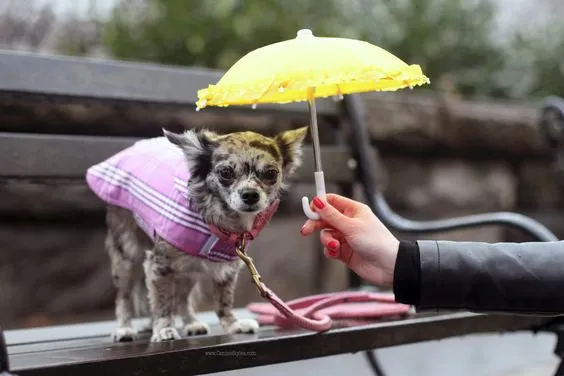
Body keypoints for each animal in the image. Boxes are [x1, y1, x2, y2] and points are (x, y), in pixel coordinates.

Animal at [86, 125, 308, 340]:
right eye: (225, 172)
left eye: (271, 174)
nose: (250, 195)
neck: (220, 219)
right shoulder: (159, 266)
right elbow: (162, 301)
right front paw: (164, 328)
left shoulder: (227, 269)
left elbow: (224, 300)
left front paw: (232, 324)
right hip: (127, 258)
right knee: (124, 297)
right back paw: (125, 328)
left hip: (188, 269)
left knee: (183, 298)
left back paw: (191, 323)